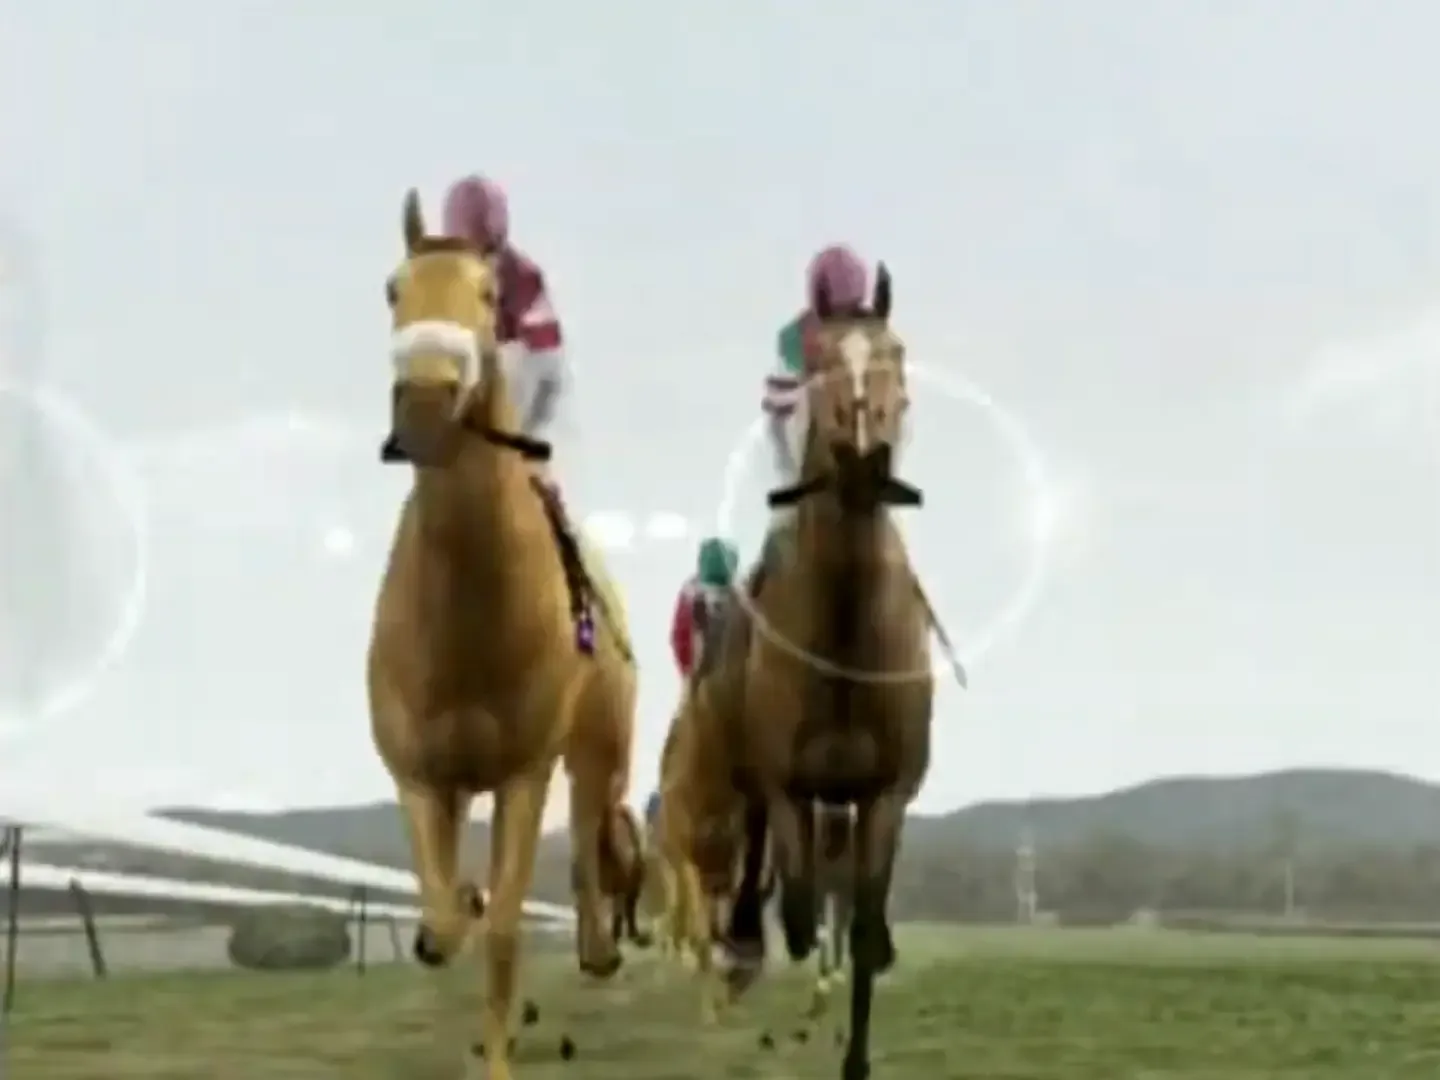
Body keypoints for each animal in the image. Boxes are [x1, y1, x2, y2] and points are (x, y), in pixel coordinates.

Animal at [367, 189, 638, 1080]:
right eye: (393, 288)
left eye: (488, 294)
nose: (423, 405)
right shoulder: (420, 774)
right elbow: (450, 922)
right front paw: (449, 911)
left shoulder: (526, 771)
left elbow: (507, 932)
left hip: (597, 749)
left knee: (593, 834)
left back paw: (599, 943)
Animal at [724, 264, 935, 1080]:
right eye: (816, 362)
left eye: (896, 352)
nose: (862, 460)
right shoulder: (787, 783)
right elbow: (800, 904)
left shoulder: (885, 795)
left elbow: (865, 921)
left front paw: (858, 1058)